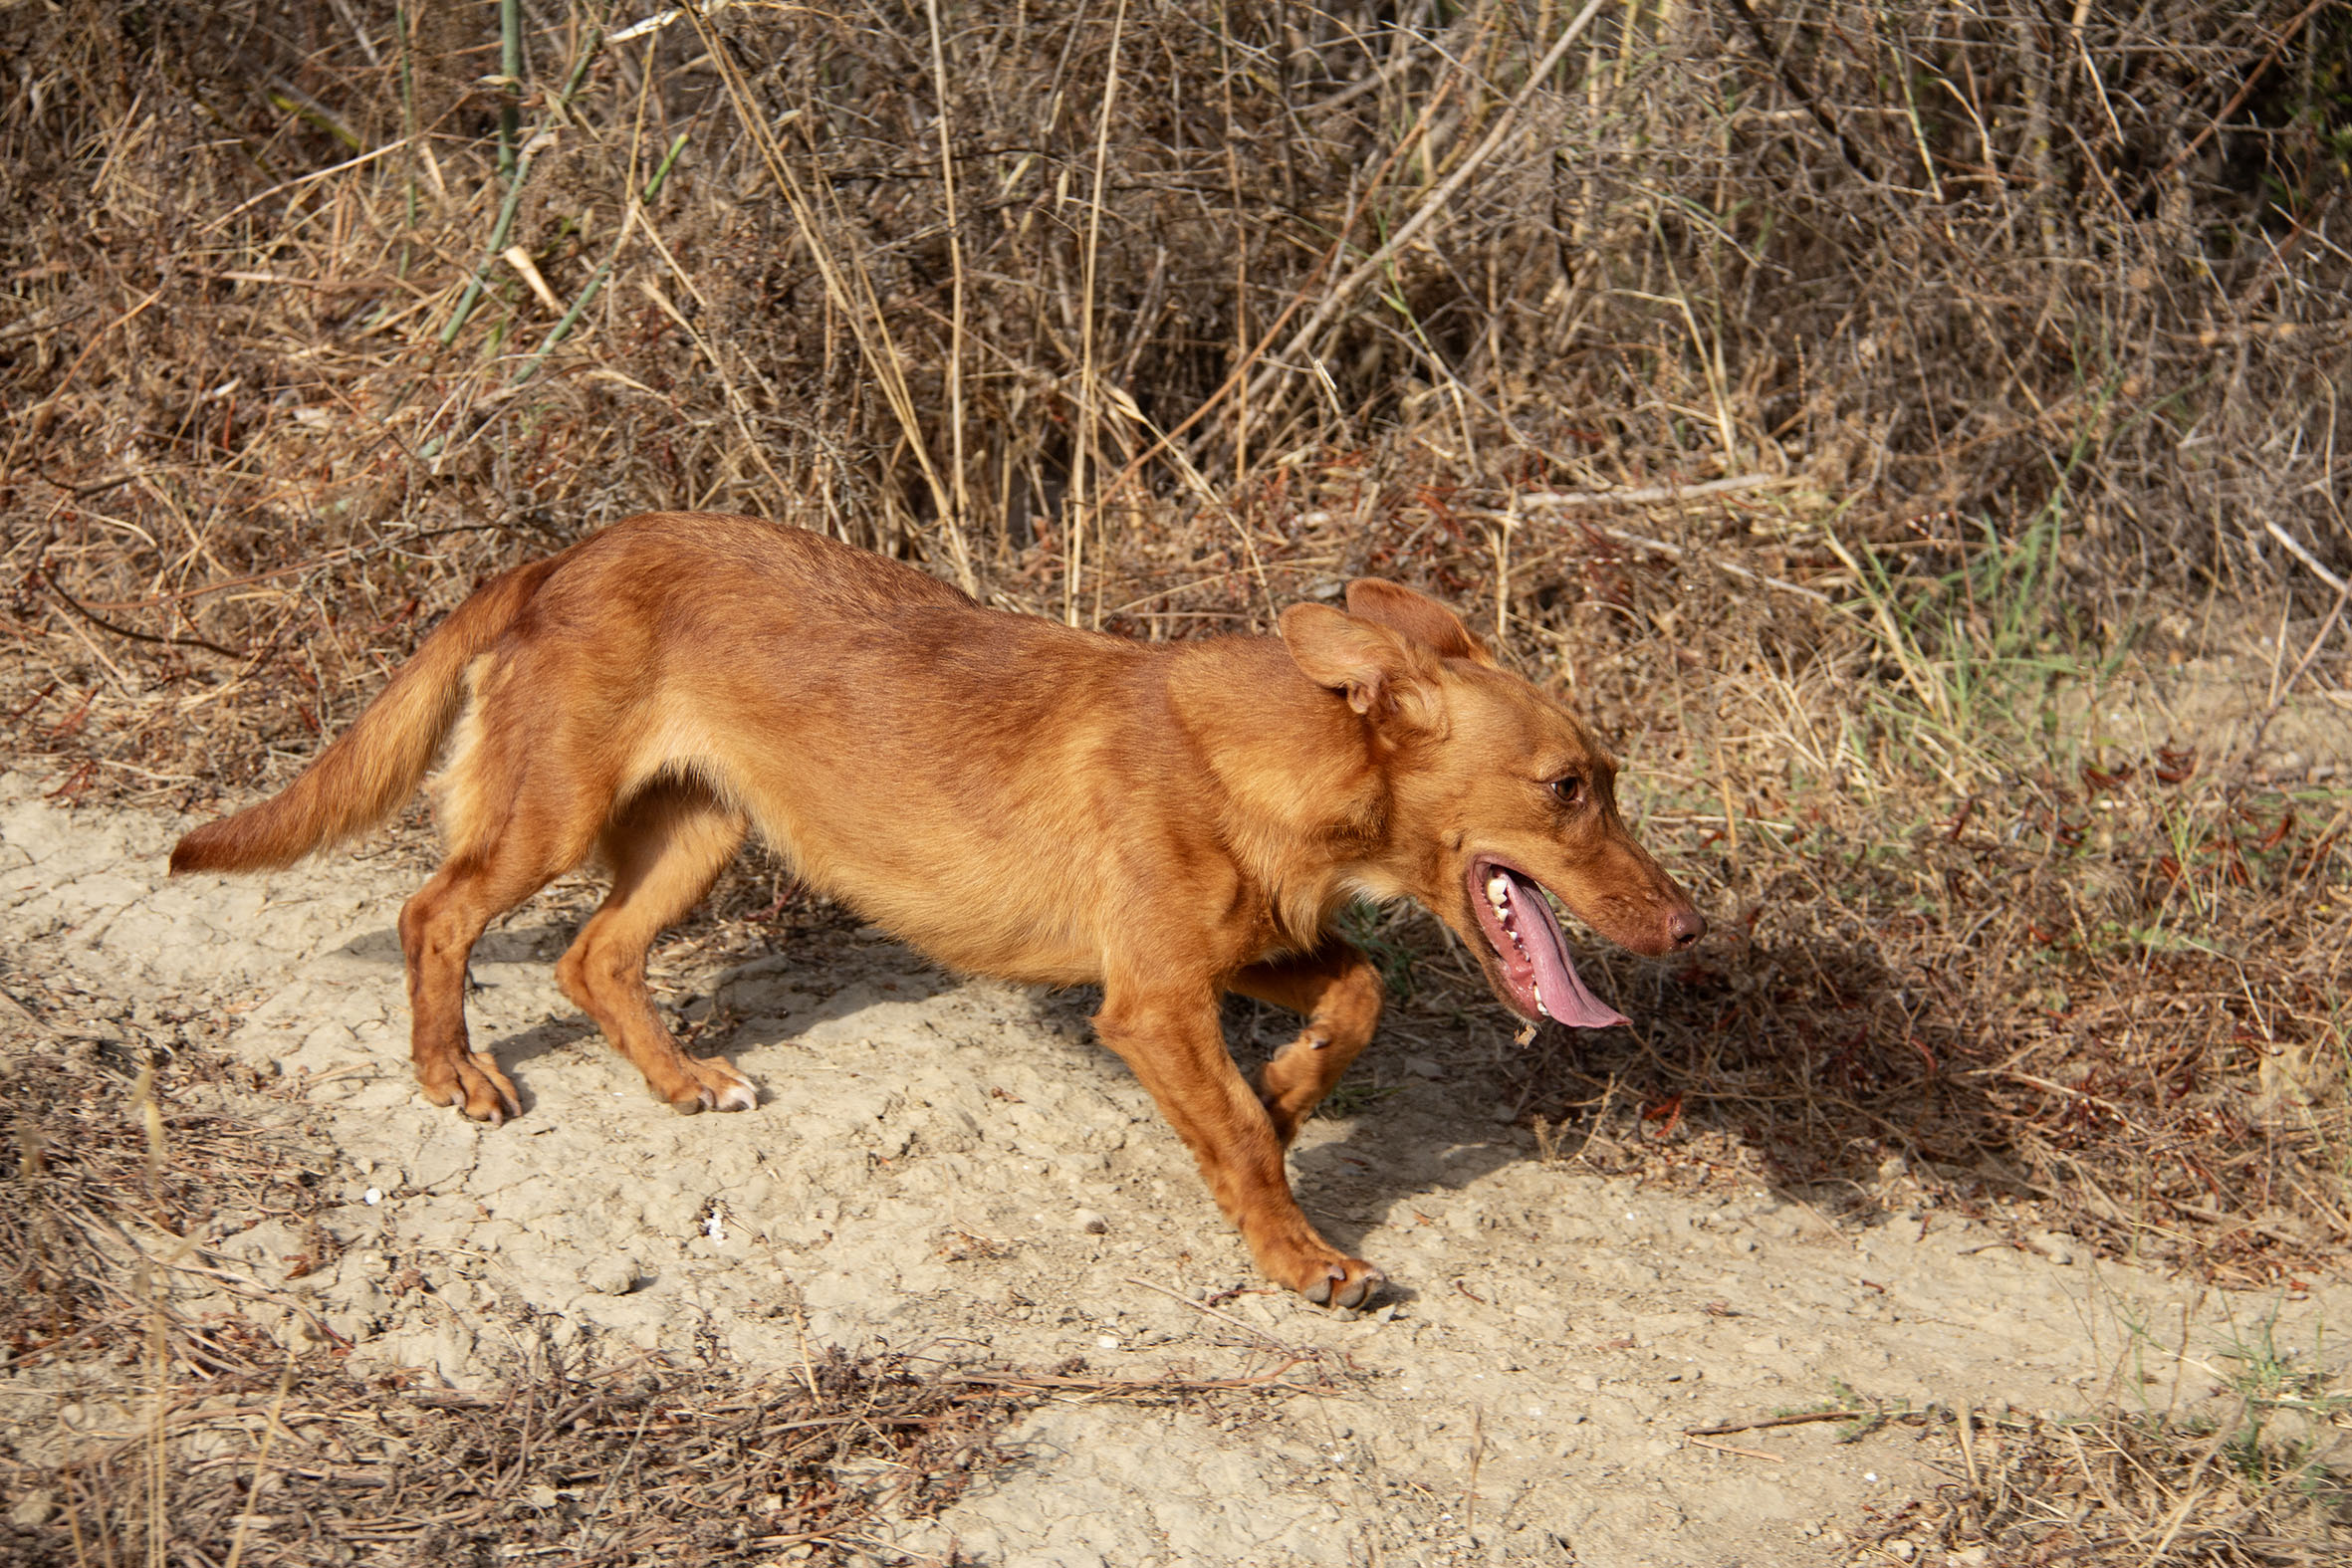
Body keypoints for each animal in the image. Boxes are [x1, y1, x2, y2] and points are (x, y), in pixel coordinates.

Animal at [172, 513, 1703, 1307]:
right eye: (1570, 787)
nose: (1689, 931)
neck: (1268, 758)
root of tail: (566, 553)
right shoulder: (1149, 999)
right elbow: (1237, 1132)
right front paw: (1296, 1249)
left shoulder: (1235, 953)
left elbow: (1355, 996)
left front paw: (1283, 1098)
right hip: (546, 821)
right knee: (436, 913)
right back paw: (451, 1072)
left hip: (702, 832)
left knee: (593, 961)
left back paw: (683, 1080)